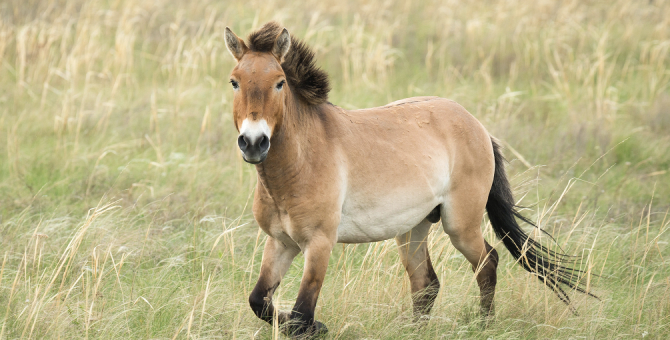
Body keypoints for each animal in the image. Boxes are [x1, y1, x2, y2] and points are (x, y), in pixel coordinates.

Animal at [224, 21, 592, 338]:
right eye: (234, 81)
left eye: (279, 82)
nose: (254, 142)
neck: (298, 164)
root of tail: (478, 126)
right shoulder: (280, 242)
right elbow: (260, 302)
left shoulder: (319, 244)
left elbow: (302, 315)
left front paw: (318, 327)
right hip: (413, 229)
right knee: (426, 284)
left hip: (460, 226)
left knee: (487, 263)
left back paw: (484, 326)